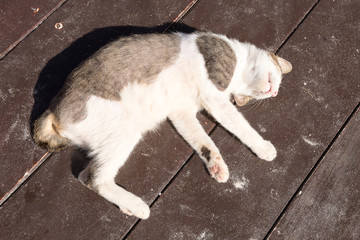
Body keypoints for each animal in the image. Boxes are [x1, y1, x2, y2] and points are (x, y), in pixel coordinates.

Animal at [33, 31, 292, 219]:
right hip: (123, 132)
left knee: (86, 174)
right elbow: (240, 125)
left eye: (251, 97)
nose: (275, 92)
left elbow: (203, 141)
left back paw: (127, 206)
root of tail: (53, 109)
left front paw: (216, 165)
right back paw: (137, 205)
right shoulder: (215, 98)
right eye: (278, 76)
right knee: (93, 179)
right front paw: (263, 147)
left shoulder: (181, 113)